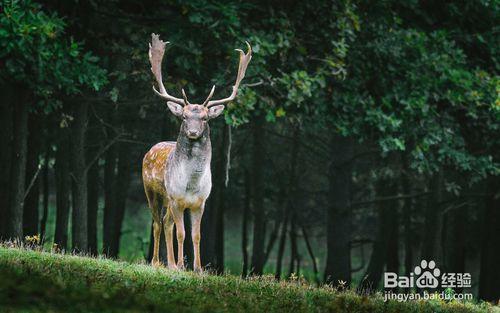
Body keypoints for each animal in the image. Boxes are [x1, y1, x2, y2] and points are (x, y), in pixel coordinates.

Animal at [142, 33, 252, 270]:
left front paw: (198, 268)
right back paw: (157, 262)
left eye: (204, 118)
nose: (193, 132)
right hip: (153, 191)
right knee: (157, 223)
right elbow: (181, 233)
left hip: (168, 200)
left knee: (166, 222)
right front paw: (182, 266)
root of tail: (150, 150)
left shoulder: (200, 202)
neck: (191, 185)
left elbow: (196, 235)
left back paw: (170, 263)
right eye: (184, 116)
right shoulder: (177, 199)